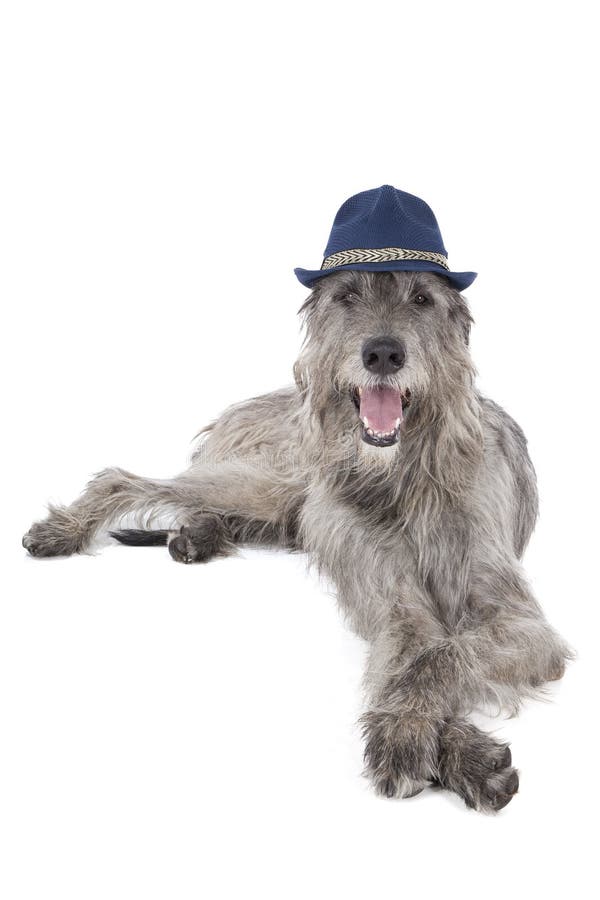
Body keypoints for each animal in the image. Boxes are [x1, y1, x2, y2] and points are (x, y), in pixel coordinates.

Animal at [23, 186, 568, 812]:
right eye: (348, 295)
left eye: (423, 298)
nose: (384, 354)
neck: (402, 479)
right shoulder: (391, 597)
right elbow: (417, 650)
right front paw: (442, 745)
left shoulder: (519, 619)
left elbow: (440, 657)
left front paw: (417, 735)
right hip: (272, 482)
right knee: (123, 478)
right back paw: (69, 528)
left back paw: (196, 536)